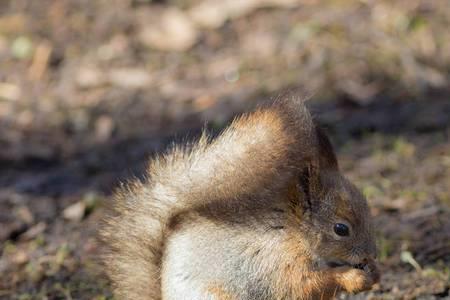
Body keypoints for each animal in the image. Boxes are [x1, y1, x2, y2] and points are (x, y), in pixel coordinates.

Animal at [99, 97, 380, 298]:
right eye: (341, 229)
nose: (372, 255)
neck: (293, 233)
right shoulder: (275, 263)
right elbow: (306, 284)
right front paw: (355, 278)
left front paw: (374, 273)